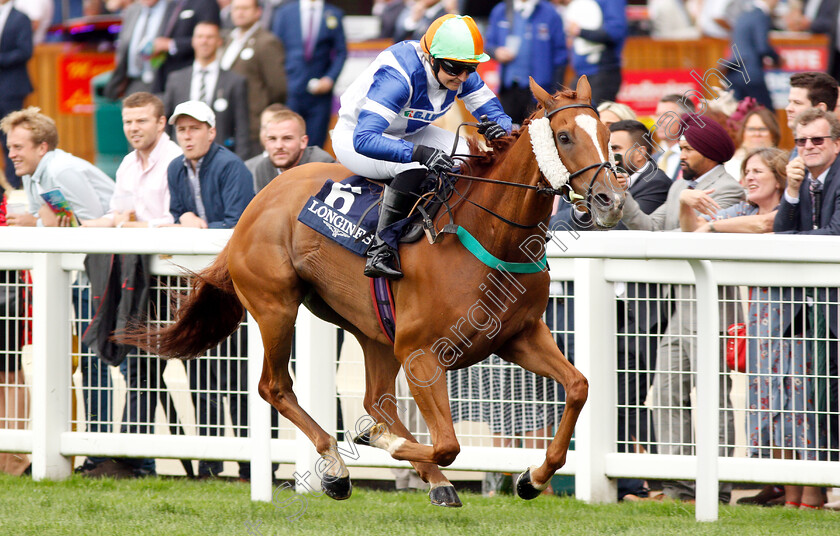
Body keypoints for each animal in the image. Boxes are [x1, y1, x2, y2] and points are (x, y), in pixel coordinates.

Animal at [130, 76, 624, 506]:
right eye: (564, 136)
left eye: (605, 132)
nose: (611, 201)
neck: (489, 235)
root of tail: (261, 198)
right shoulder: (422, 352)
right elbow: (446, 443)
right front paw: (381, 442)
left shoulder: (518, 335)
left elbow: (578, 386)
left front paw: (531, 478)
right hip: (276, 306)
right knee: (276, 387)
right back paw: (338, 468)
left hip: (371, 330)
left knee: (373, 399)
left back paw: (425, 477)